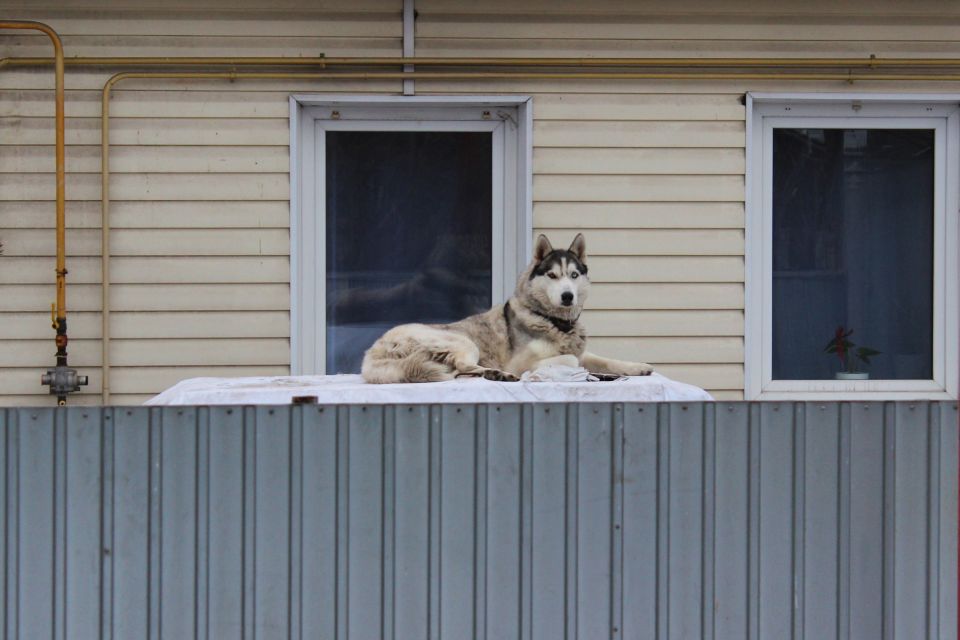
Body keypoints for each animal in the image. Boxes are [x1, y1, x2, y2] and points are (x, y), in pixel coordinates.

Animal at [360, 235, 652, 384]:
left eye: (574, 275)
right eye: (552, 275)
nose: (568, 296)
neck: (552, 321)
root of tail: (373, 351)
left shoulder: (583, 351)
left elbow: (603, 360)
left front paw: (636, 367)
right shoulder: (524, 361)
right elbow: (570, 360)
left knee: (457, 371)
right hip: (463, 342)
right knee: (462, 365)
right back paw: (497, 373)